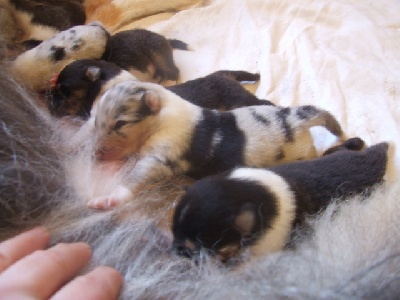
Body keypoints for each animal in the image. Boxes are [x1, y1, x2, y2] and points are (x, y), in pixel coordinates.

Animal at [87, 80, 344, 209]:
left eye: (120, 123)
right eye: (95, 119)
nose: (97, 155)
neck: (162, 116)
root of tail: (297, 118)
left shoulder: (161, 156)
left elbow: (138, 175)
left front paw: (109, 197)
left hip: (302, 152)